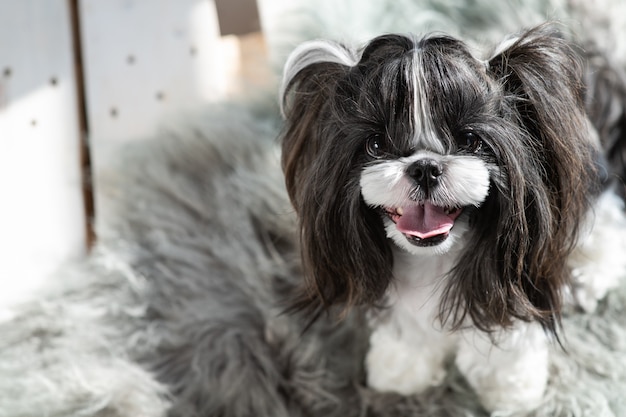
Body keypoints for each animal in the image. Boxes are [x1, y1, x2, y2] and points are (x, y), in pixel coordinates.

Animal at [278, 24, 624, 414]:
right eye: (376, 144)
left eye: (470, 139)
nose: (425, 167)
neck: (433, 259)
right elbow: (407, 339)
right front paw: (398, 377)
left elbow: (507, 346)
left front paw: (511, 395)